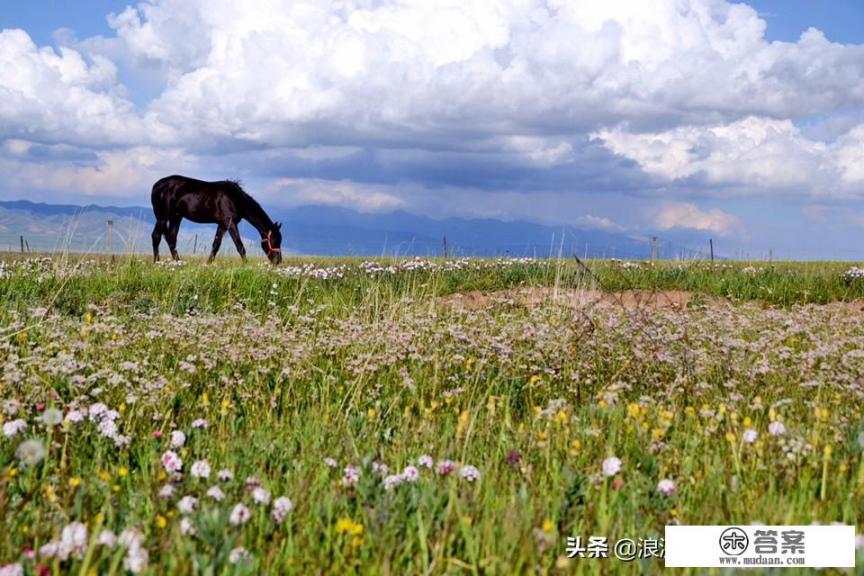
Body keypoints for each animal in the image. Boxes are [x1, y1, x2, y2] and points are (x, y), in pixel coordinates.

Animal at [149, 176, 284, 266]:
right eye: (275, 241)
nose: (278, 261)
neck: (235, 199)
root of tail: (156, 186)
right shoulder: (230, 223)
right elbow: (240, 246)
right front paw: (247, 265)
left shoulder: (222, 225)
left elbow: (215, 245)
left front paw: (208, 264)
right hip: (162, 216)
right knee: (157, 236)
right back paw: (157, 262)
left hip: (176, 217)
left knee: (171, 238)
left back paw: (178, 262)